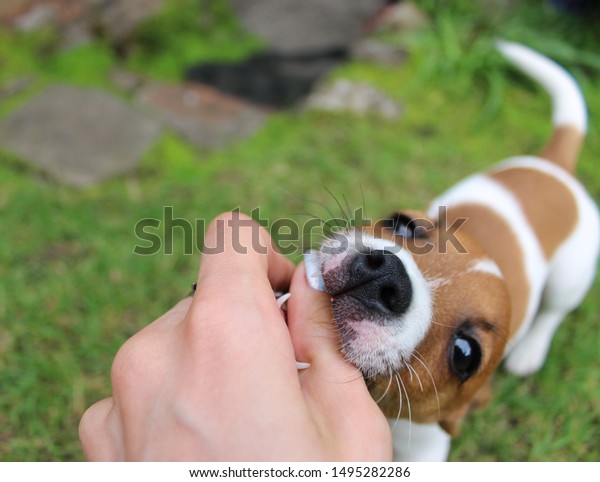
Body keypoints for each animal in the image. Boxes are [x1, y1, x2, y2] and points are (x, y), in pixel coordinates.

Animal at [304, 42, 600, 464]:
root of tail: (555, 167)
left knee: (553, 312)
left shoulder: (426, 450)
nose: (386, 275)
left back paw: (530, 351)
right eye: (403, 225)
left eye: (464, 354)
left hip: (569, 277)